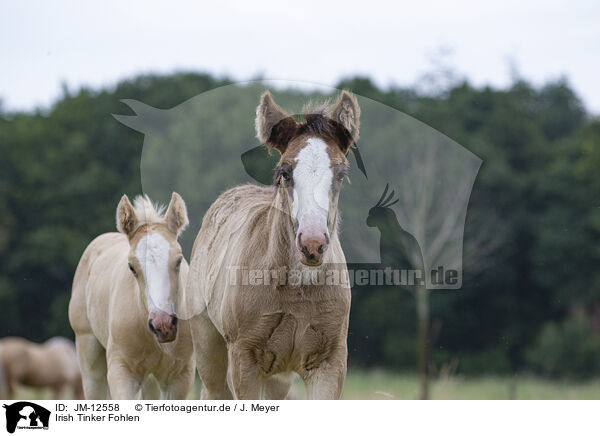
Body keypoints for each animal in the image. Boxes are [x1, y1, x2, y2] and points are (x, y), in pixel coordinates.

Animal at [69, 193, 193, 398]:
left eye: (179, 260)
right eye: (132, 267)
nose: (163, 324)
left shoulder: (181, 377)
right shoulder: (121, 372)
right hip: (89, 354)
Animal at [185, 89, 358, 398]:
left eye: (341, 174)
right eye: (285, 173)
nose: (312, 244)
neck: (298, 288)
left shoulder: (330, 363)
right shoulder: (244, 361)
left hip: (279, 378)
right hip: (209, 351)